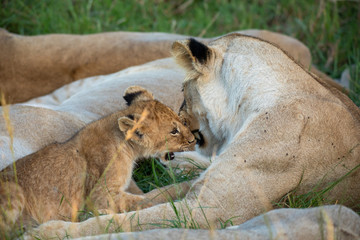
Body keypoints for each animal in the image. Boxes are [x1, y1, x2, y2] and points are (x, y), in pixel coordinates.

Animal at [23, 33, 360, 238]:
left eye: (183, 92)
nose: (181, 117)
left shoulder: (207, 213)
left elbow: (129, 221)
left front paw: (48, 231)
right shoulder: (201, 192)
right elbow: (155, 197)